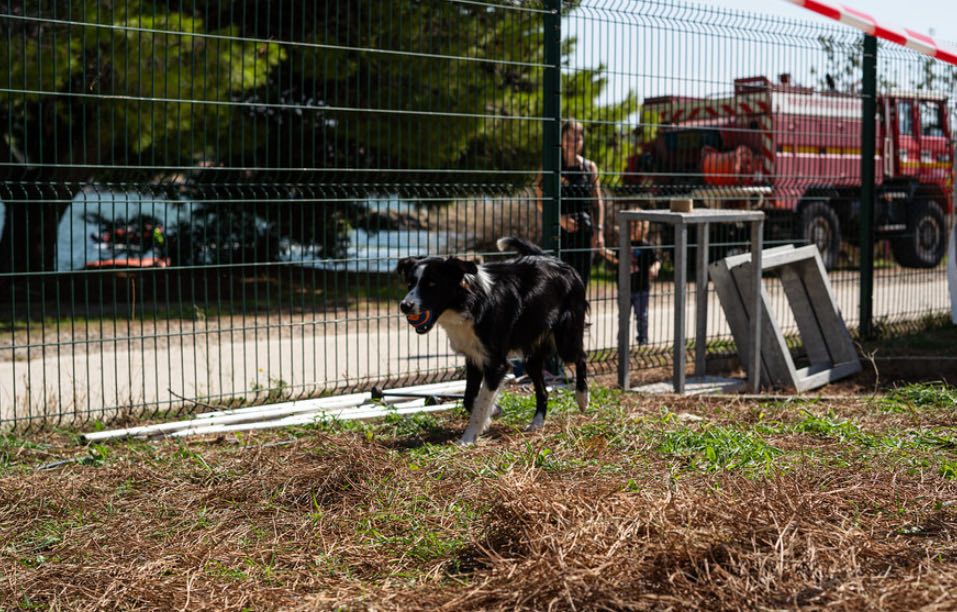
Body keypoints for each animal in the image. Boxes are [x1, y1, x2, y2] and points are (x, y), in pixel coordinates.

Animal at [398, 237, 592, 442]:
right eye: (410, 284)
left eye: (432, 284)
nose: (404, 306)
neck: (471, 302)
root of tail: (555, 260)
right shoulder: (473, 357)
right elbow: (469, 398)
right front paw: (495, 411)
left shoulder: (496, 363)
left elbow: (481, 402)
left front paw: (468, 438)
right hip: (532, 355)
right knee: (543, 390)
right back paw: (537, 422)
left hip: (566, 339)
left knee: (581, 357)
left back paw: (582, 398)